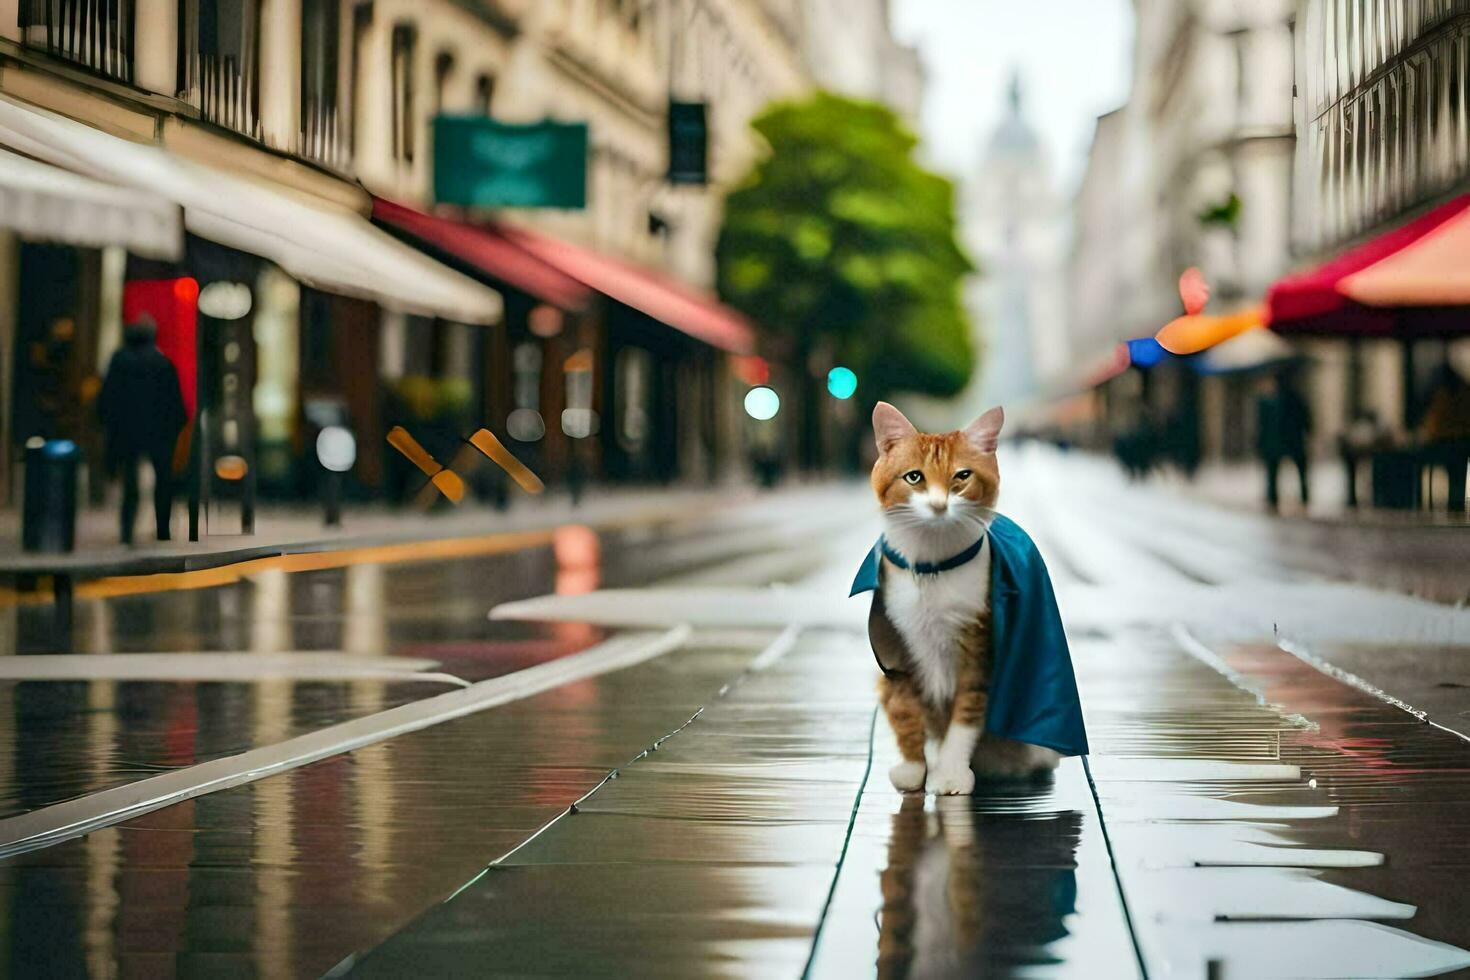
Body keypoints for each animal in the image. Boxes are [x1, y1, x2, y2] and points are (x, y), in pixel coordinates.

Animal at [858, 402, 1058, 793]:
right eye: (914, 477)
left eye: (962, 476)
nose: (939, 505)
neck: (932, 569)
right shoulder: (897, 654)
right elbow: (905, 714)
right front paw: (914, 768)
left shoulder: (979, 650)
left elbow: (965, 718)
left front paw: (950, 772)